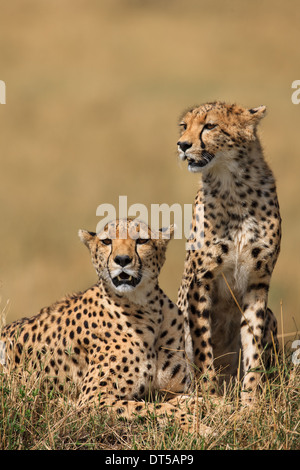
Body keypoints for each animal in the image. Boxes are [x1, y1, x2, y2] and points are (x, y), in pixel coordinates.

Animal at [0, 218, 211, 432]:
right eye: (107, 241)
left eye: (142, 240)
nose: (122, 260)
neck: (146, 306)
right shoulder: (93, 400)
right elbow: (154, 408)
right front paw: (197, 427)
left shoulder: (174, 391)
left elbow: (194, 400)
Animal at [176, 101, 282, 402]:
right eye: (184, 126)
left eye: (210, 126)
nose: (182, 144)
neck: (234, 185)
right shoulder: (200, 280)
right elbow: (202, 345)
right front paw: (210, 397)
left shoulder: (258, 281)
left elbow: (253, 345)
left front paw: (250, 401)